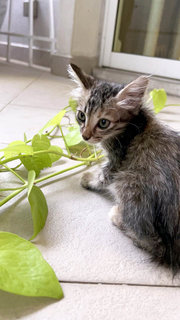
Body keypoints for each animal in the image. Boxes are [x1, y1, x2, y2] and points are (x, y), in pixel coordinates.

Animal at [68, 63, 180, 272]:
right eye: (81, 116)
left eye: (103, 122)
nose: (85, 136)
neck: (135, 123)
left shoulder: (117, 163)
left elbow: (102, 176)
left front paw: (88, 179)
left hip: (128, 181)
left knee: (155, 243)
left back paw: (118, 216)